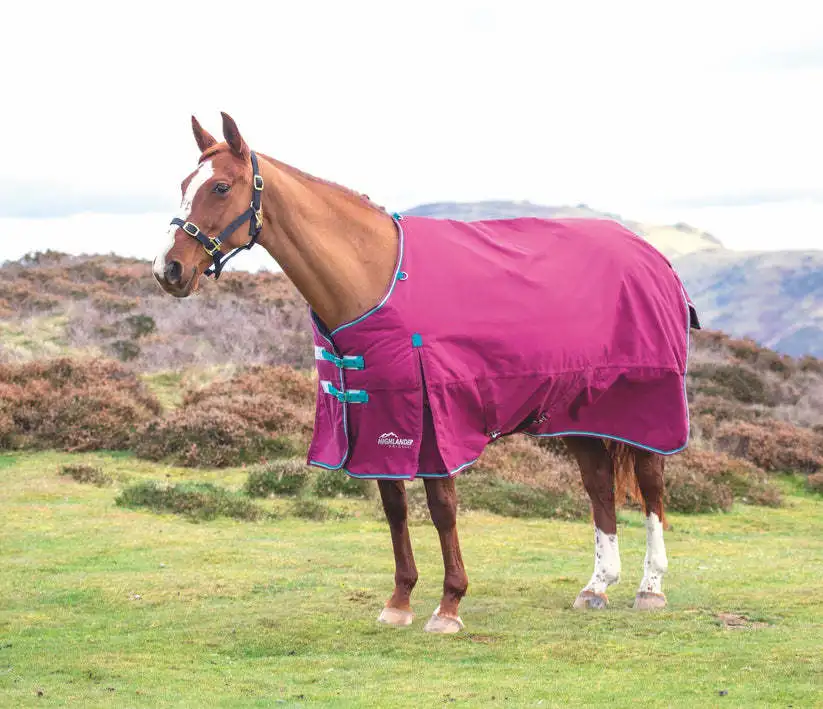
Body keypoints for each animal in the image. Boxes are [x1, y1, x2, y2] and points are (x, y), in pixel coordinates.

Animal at [153, 113, 696, 632]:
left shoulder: (435, 421)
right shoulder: (376, 420)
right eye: (183, 183)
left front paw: (450, 604)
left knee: (651, 485)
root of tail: (656, 260)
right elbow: (394, 509)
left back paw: (650, 587)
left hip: (645, 406)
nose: (168, 269)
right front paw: (399, 601)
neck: (372, 276)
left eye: (221, 187)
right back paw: (597, 586)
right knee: (599, 486)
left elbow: (442, 510)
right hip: (577, 413)